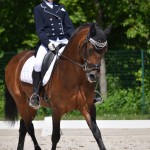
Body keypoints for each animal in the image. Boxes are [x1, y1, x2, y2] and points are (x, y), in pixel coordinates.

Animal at [4, 22, 110, 150]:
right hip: (21, 103)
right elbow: (55, 136)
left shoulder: (88, 107)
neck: (75, 77)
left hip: (30, 106)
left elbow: (96, 132)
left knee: (23, 126)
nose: (93, 75)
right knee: (30, 127)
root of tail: (14, 59)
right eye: (90, 49)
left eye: (105, 50)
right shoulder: (56, 110)